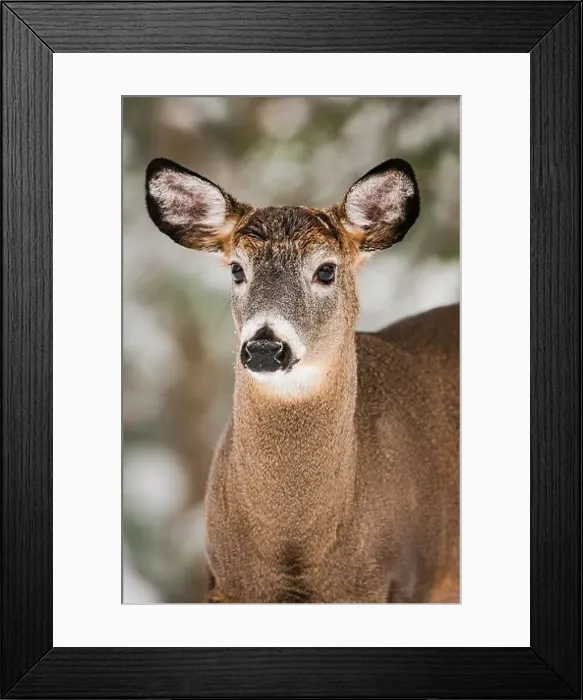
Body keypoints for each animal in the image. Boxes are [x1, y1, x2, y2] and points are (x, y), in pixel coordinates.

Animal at [145, 156, 459, 603]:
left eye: (326, 270)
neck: (294, 546)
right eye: (237, 269)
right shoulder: (225, 584)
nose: (264, 347)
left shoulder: (406, 583)